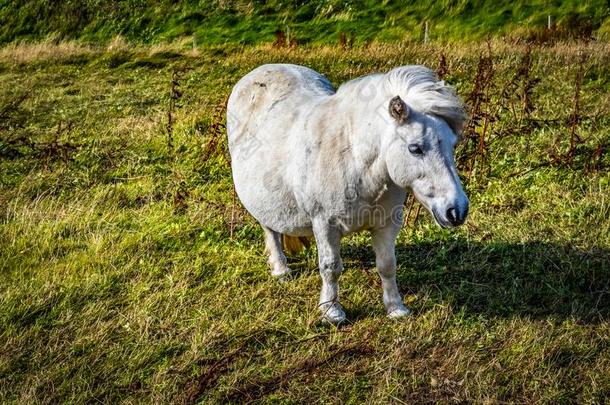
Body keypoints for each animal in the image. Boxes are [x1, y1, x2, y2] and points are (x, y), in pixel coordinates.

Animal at [226, 63, 468, 322]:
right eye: (415, 148)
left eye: (453, 145)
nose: (457, 210)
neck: (355, 162)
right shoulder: (325, 224)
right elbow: (331, 267)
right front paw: (332, 312)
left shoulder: (386, 224)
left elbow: (387, 264)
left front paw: (396, 309)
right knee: (270, 230)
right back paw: (281, 270)